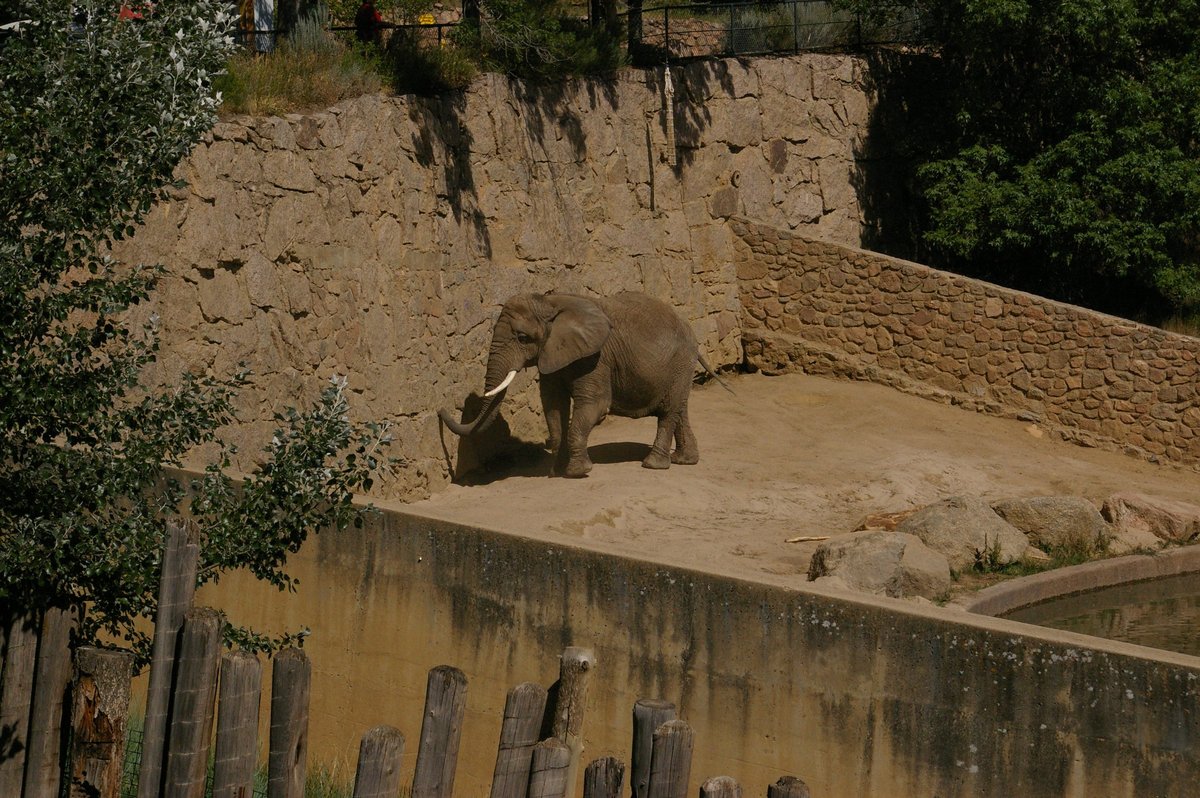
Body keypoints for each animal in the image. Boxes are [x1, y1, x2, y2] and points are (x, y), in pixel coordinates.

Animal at [439, 291, 720, 478]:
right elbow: (553, 408)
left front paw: (577, 472)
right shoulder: (552, 354)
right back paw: (685, 460)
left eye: (522, 337)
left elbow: (594, 406)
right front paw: (556, 470)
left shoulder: (596, 358)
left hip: (680, 362)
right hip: (679, 368)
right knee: (679, 409)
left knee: (669, 411)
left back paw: (653, 465)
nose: (440, 411)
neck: (551, 303)